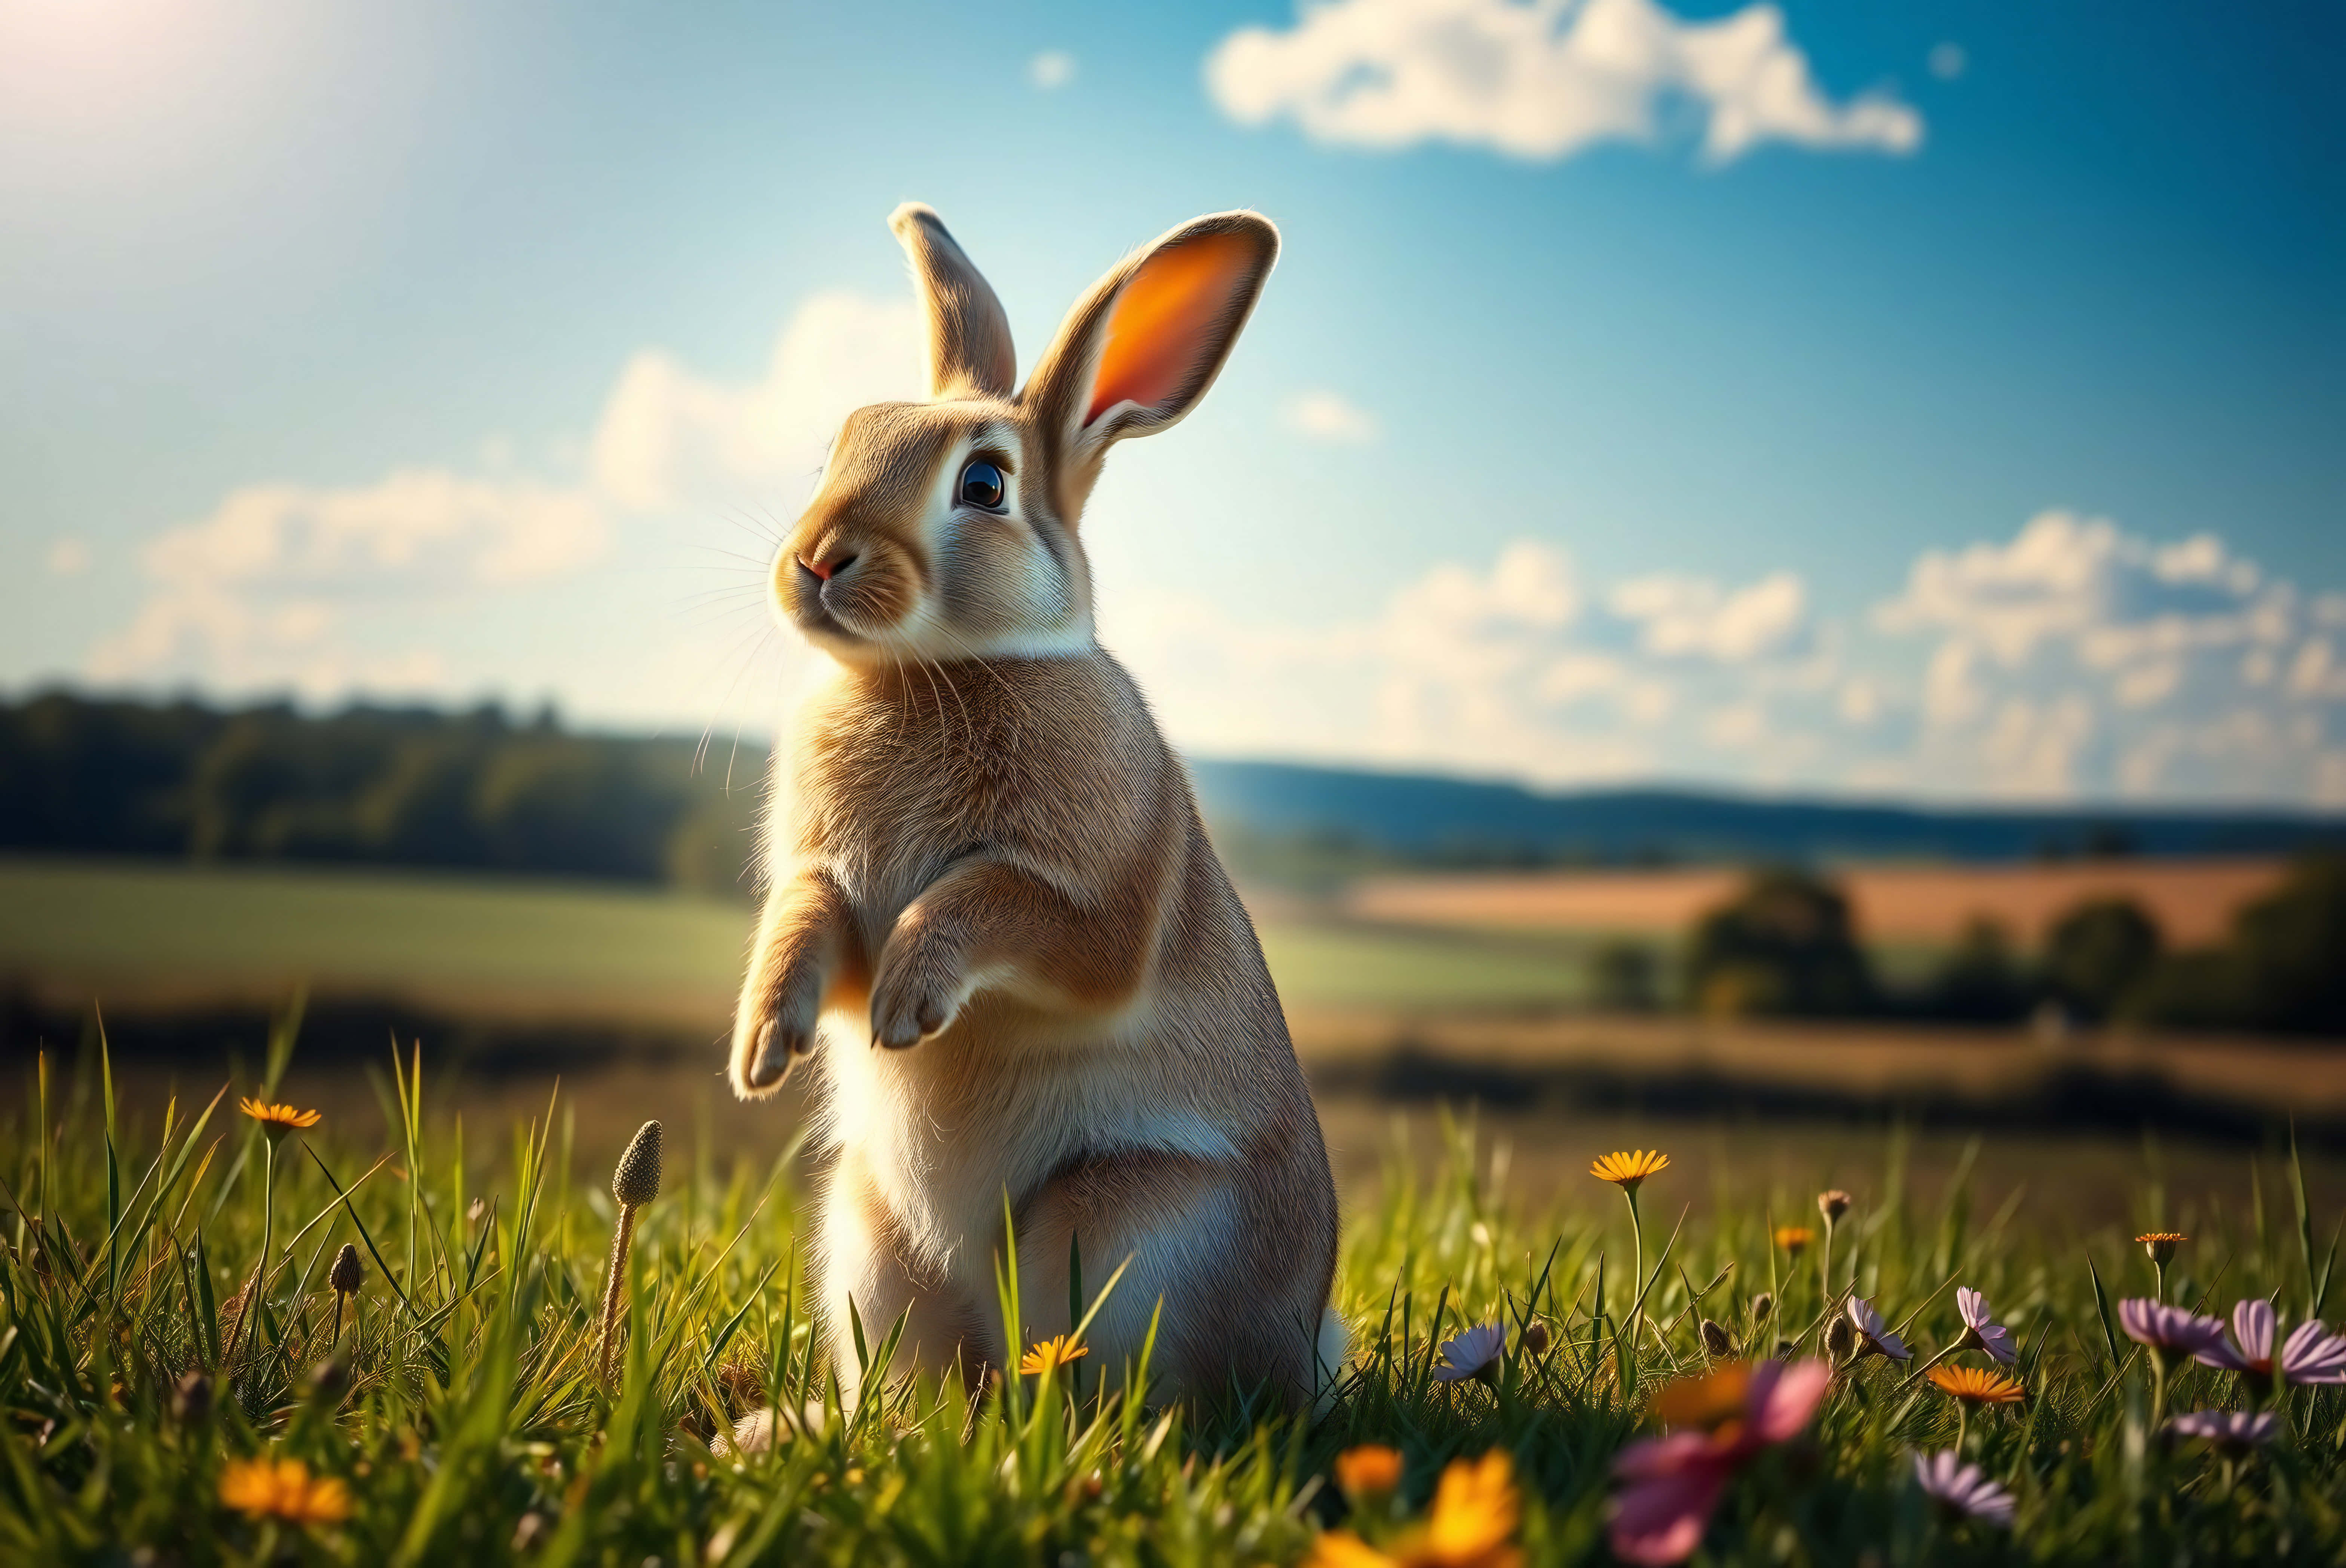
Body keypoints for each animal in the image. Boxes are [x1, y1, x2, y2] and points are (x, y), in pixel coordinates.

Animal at [727, 202, 1342, 1411]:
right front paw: (762, 1045)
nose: (817, 559)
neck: (934, 667)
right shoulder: (824, 883)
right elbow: (804, 918)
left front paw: (906, 1005)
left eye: (983, 486)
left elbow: (999, 905)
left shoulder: (1091, 907)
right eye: (839, 445)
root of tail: (1300, 1345)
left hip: (1122, 1231)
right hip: (870, 1240)